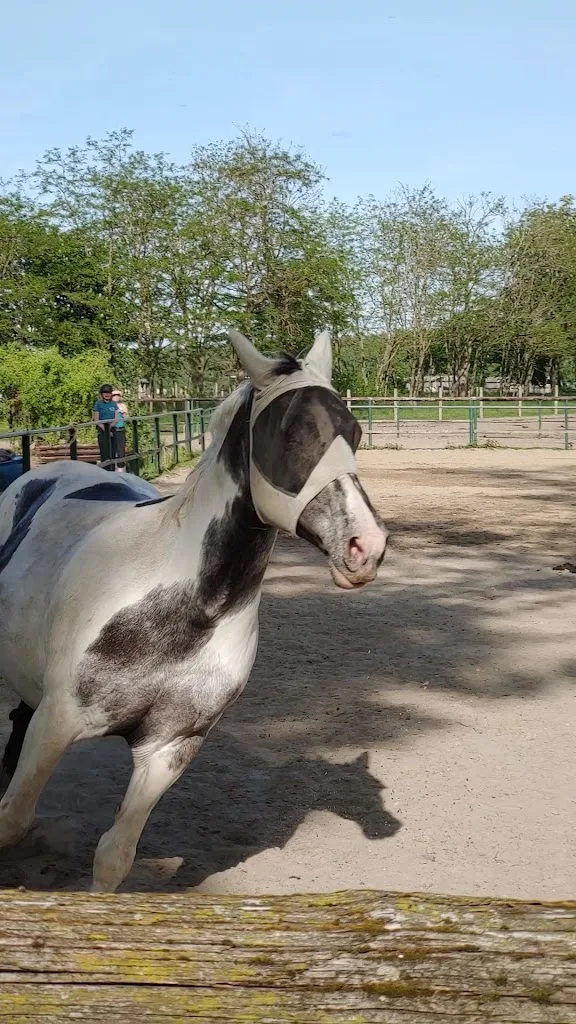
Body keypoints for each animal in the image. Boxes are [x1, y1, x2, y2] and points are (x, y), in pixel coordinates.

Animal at [0, 329, 387, 892]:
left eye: (354, 433)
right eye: (290, 434)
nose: (366, 547)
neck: (186, 608)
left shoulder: (170, 749)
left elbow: (114, 857)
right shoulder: (57, 722)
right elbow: (11, 820)